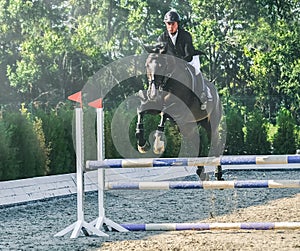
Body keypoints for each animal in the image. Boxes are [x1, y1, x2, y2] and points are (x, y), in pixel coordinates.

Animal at [135, 43, 224, 180]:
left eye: (162, 65)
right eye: (147, 65)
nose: (152, 93)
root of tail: (216, 93)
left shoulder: (178, 109)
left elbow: (164, 113)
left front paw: (158, 144)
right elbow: (141, 111)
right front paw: (142, 144)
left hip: (210, 124)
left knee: (216, 145)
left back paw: (218, 174)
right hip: (188, 127)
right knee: (198, 144)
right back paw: (201, 172)